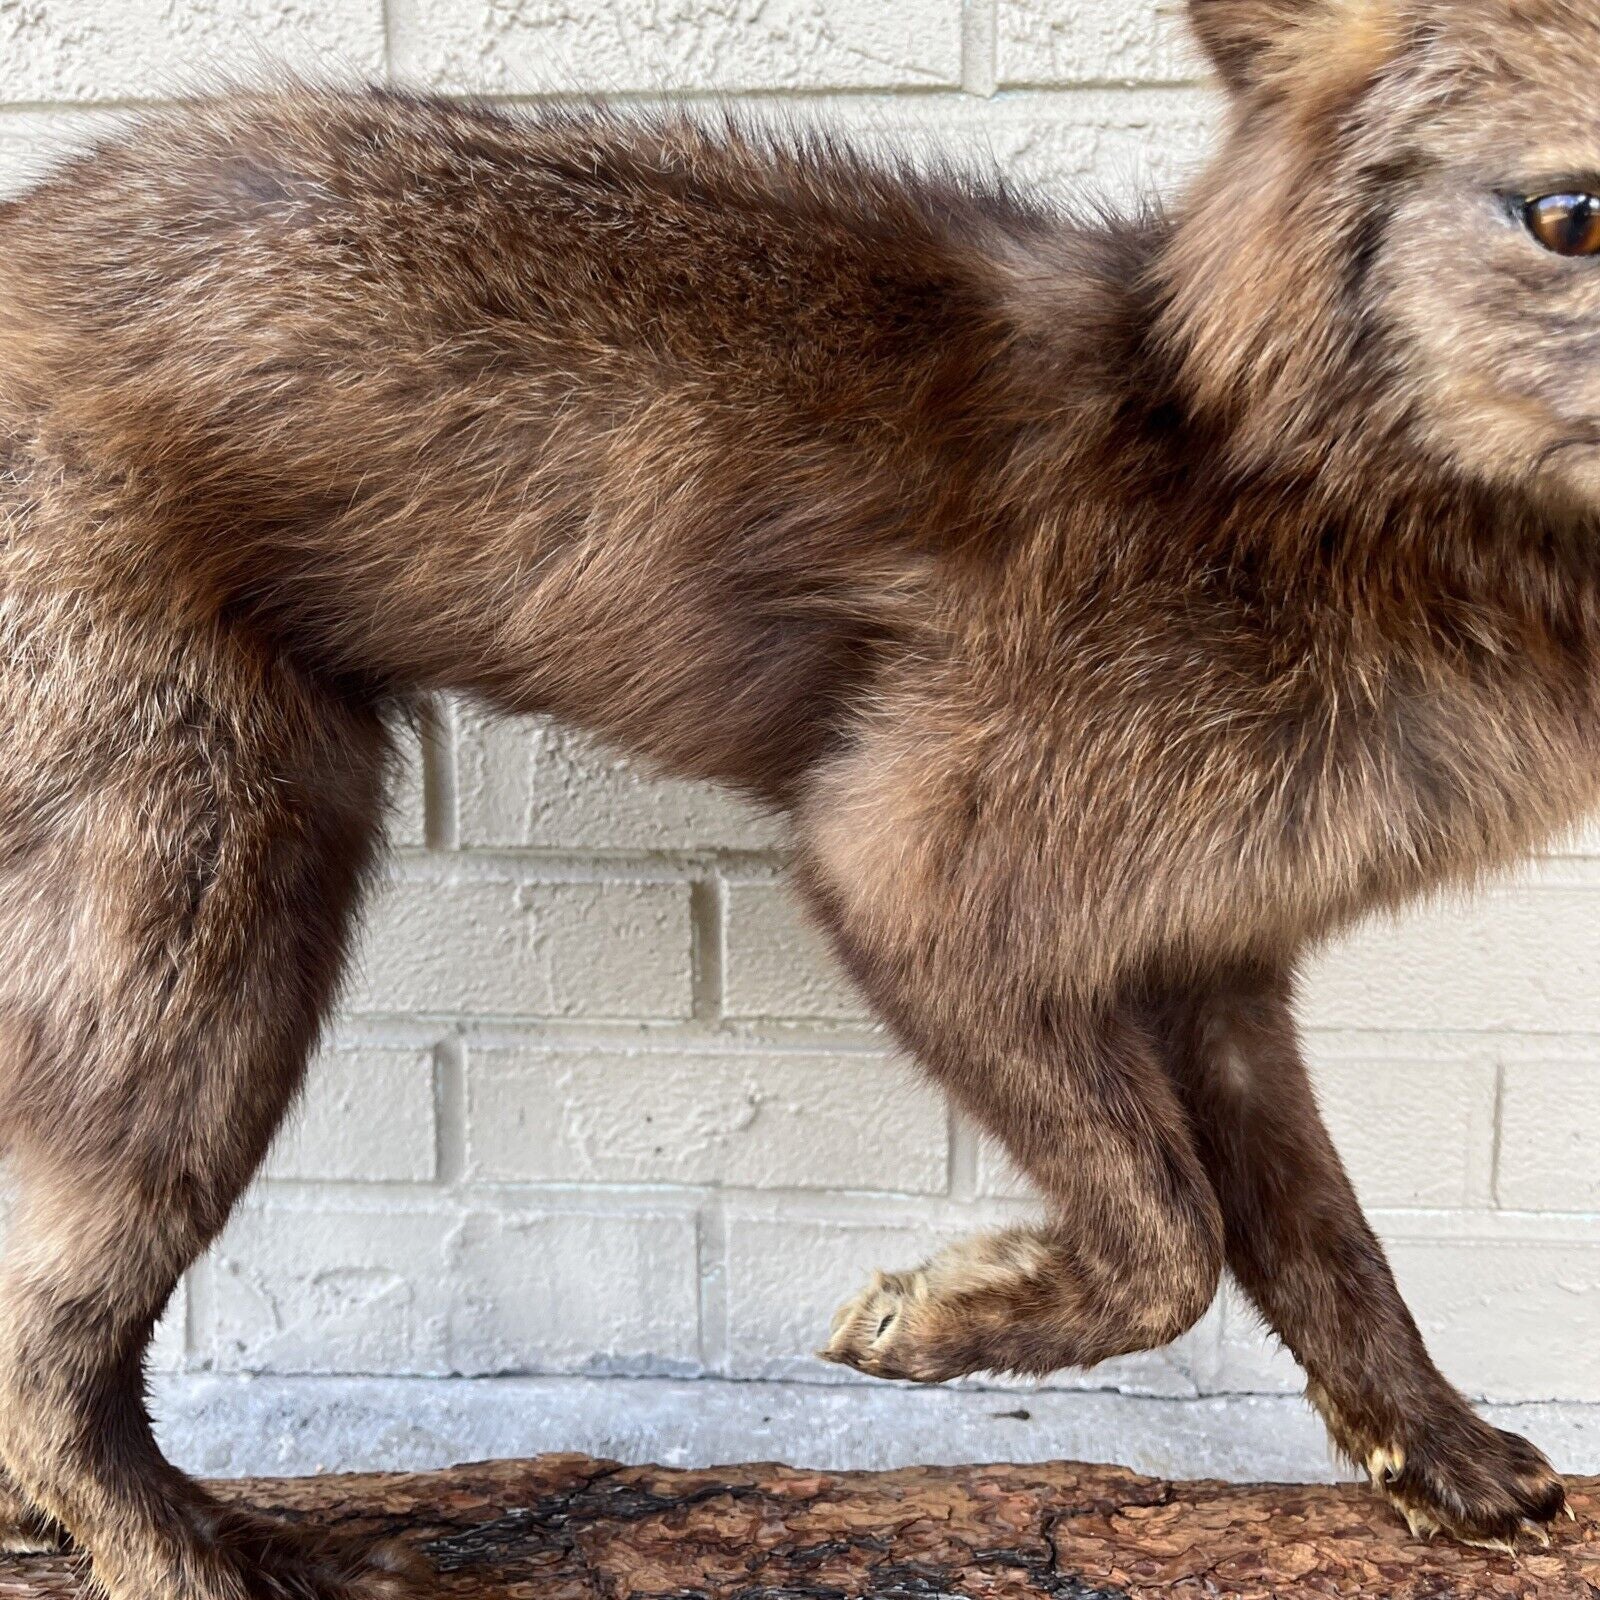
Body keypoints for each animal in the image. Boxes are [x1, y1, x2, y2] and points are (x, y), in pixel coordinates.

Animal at [0, 0, 1590, 1592]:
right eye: (1567, 215)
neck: (1276, 490)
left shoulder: (1217, 963)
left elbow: (1329, 1247)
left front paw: (1436, 1459)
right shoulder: (907, 877)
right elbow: (1171, 1240)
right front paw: (940, 1320)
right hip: (212, 938)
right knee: (38, 1355)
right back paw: (180, 1548)